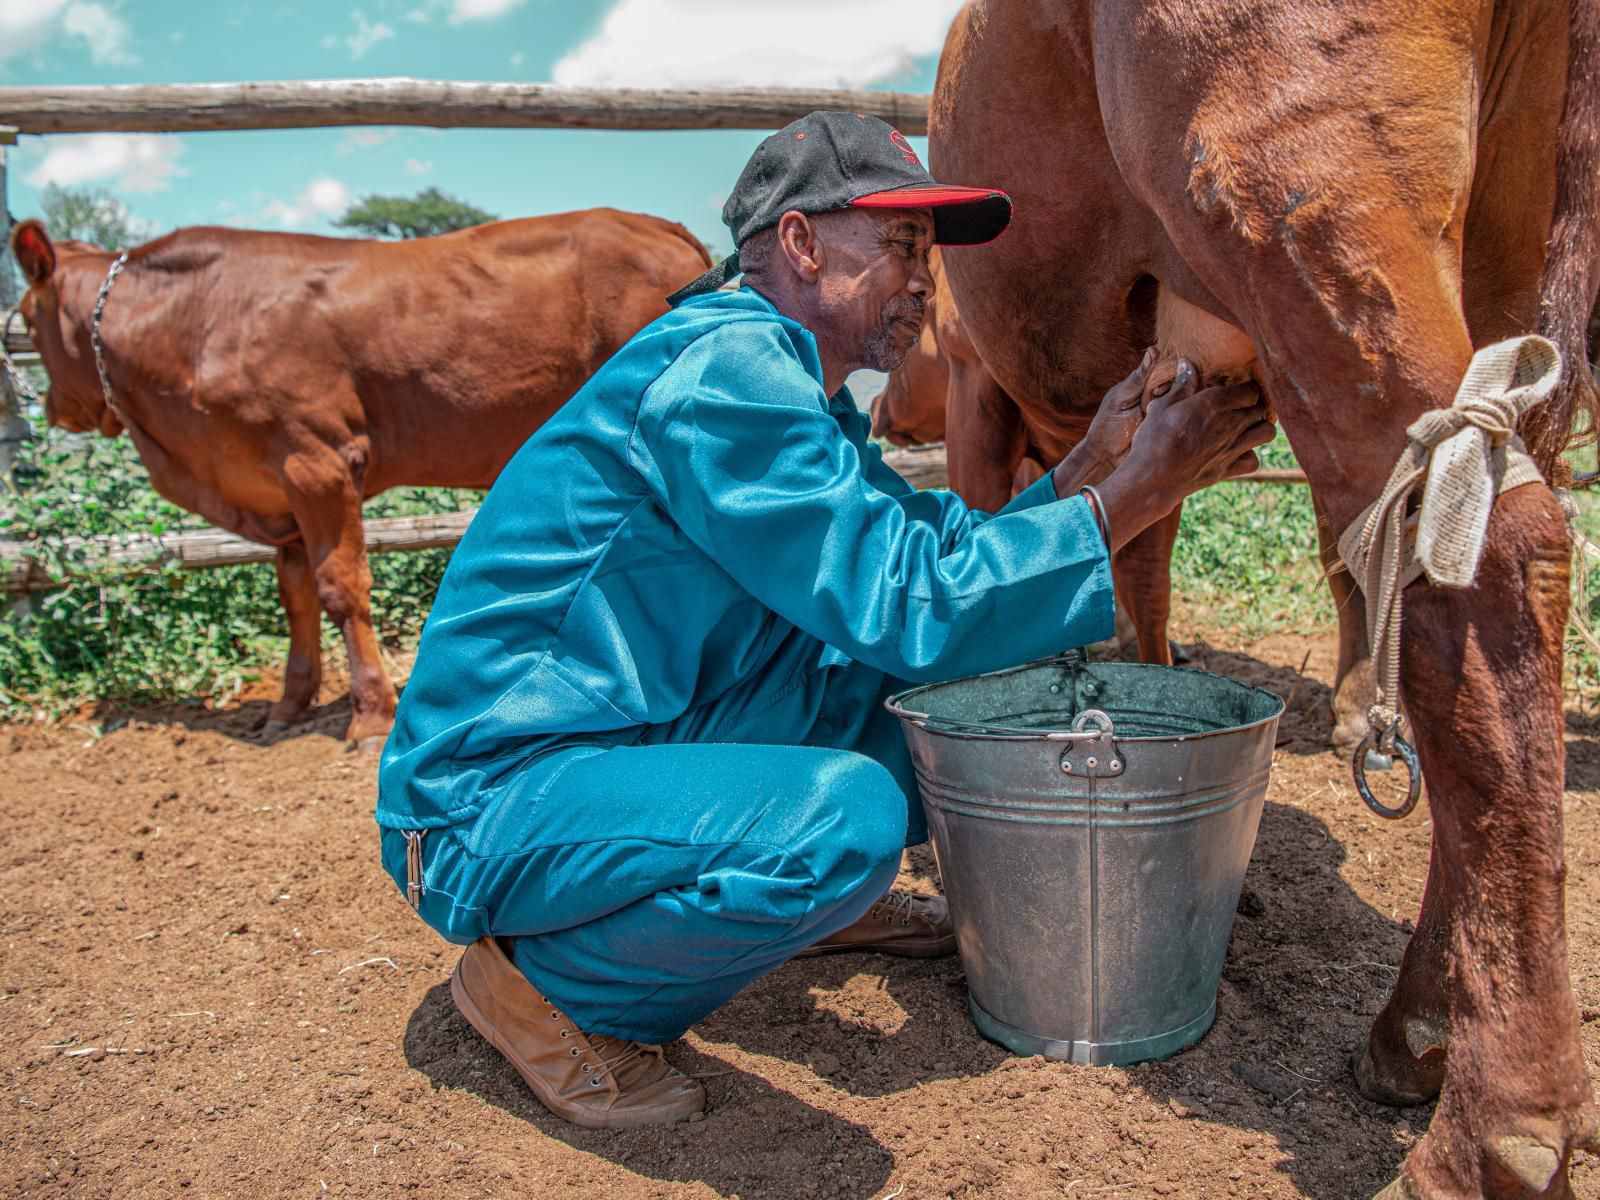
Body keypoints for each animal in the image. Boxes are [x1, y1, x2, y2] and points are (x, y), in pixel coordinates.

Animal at [6, 211, 707, 748]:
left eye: (23, 317)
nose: (51, 407)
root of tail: (652, 224)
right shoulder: (276, 487)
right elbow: (295, 594)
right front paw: (289, 706)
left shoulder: (317, 461)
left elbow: (340, 587)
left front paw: (370, 715)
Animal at [934, 0, 1600, 1196]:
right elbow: (1135, 559)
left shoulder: (979, 386)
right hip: (1501, 249)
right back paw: (1421, 1027)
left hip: (1301, 191)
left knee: (1479, 545)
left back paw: (1494, 1130)